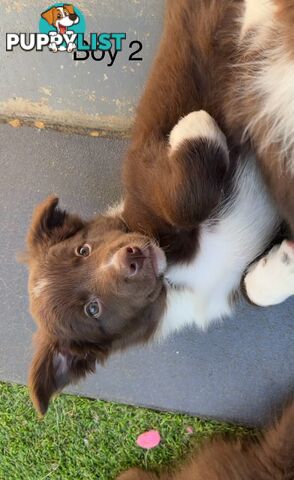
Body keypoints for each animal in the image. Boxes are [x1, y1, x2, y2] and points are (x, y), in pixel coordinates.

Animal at [24, 0, 292, 412]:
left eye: (83, 249)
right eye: (92, 309)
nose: (133, 255)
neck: (175, 273)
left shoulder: (144, 168)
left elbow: (184, 201)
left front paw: (193, 122)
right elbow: (249, 283)